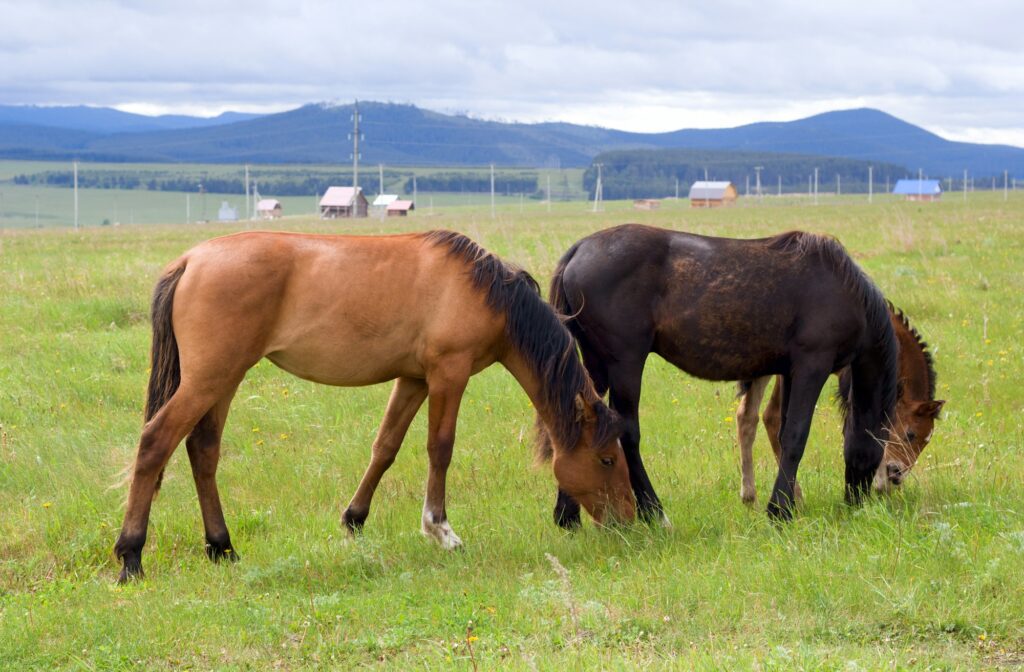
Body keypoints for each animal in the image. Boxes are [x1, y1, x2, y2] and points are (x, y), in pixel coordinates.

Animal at [116, 231, 634, 581]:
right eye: (608, 459)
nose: (630, 521)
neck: (487, 292)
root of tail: (189, 260)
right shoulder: (448, 374)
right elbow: (439, 448)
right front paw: (441, 531)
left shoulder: (413, 379)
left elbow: (385, 446)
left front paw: (354, 520)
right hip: (208, 379)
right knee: (156, 442)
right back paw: (131, 555)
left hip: (223, 380)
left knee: (203, 451)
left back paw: (222, 547)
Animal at [544, 224, 897, 524]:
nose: (858, 500)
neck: (844, 289)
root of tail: (579, 249)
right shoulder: (813, 365)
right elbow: (796, 436)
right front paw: (779, 511)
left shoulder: (789, 371)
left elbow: (782, 431)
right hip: (625, 364)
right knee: (627, 433)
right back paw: (654, 512)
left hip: (595, 365)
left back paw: (568, 515)